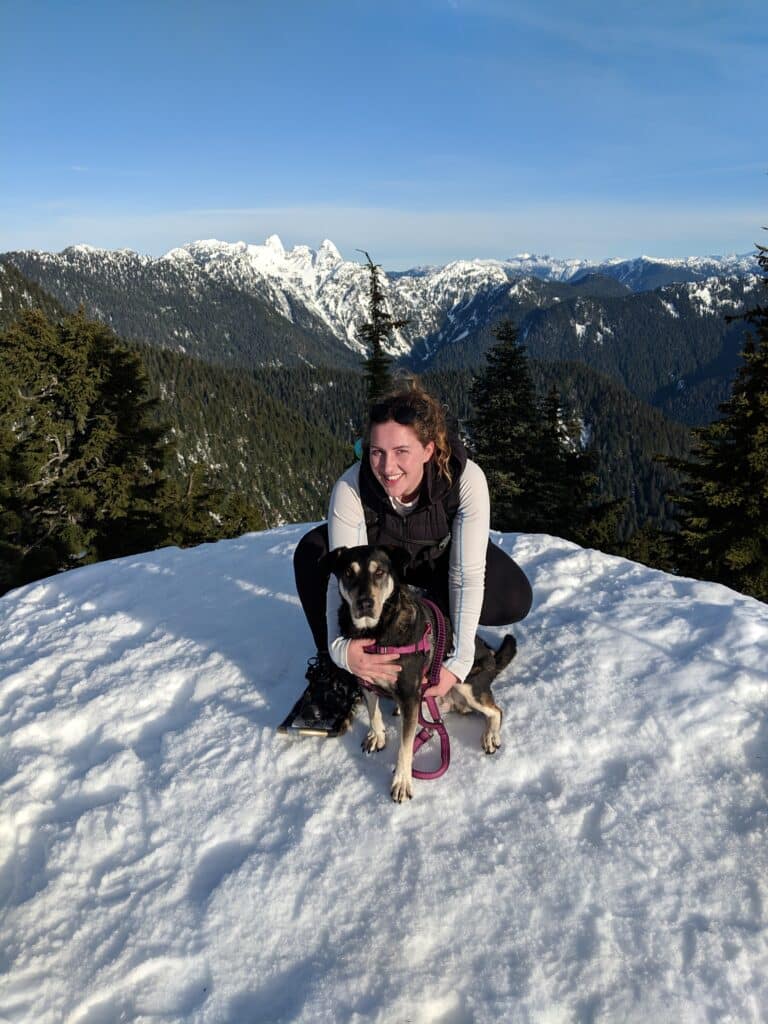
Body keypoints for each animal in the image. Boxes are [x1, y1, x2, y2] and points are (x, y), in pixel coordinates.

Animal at [325, 544, 518, 798]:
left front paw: (401, 781)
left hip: (466, 685)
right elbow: (373, 712)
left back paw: (490, 736)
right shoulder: (364, 677)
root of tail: (492, 660)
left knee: (496, 711)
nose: (365, 603)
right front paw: (377, 735)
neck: (376, 633)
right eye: (349, 572)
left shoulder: (409, 695)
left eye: (379, 572)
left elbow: (405, 746)